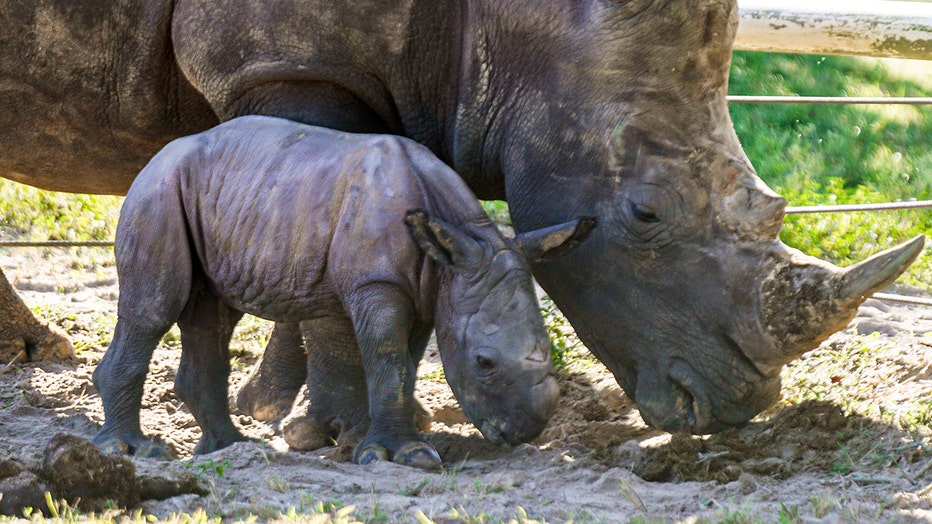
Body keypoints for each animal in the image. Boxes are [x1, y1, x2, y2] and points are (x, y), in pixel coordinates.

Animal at [93, 116, 588, 468]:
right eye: (484, 362)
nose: (524, 432)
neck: (465, 240)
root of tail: (155, 158)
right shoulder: (377, 282)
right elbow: (389, 363)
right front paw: (404, 456)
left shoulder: (431, 288)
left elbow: (403, 365)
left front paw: (363, 443)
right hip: (158, 192)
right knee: (154, 309)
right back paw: (133, 451)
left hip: (232, 198)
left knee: (212, 316)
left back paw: (228, 447)